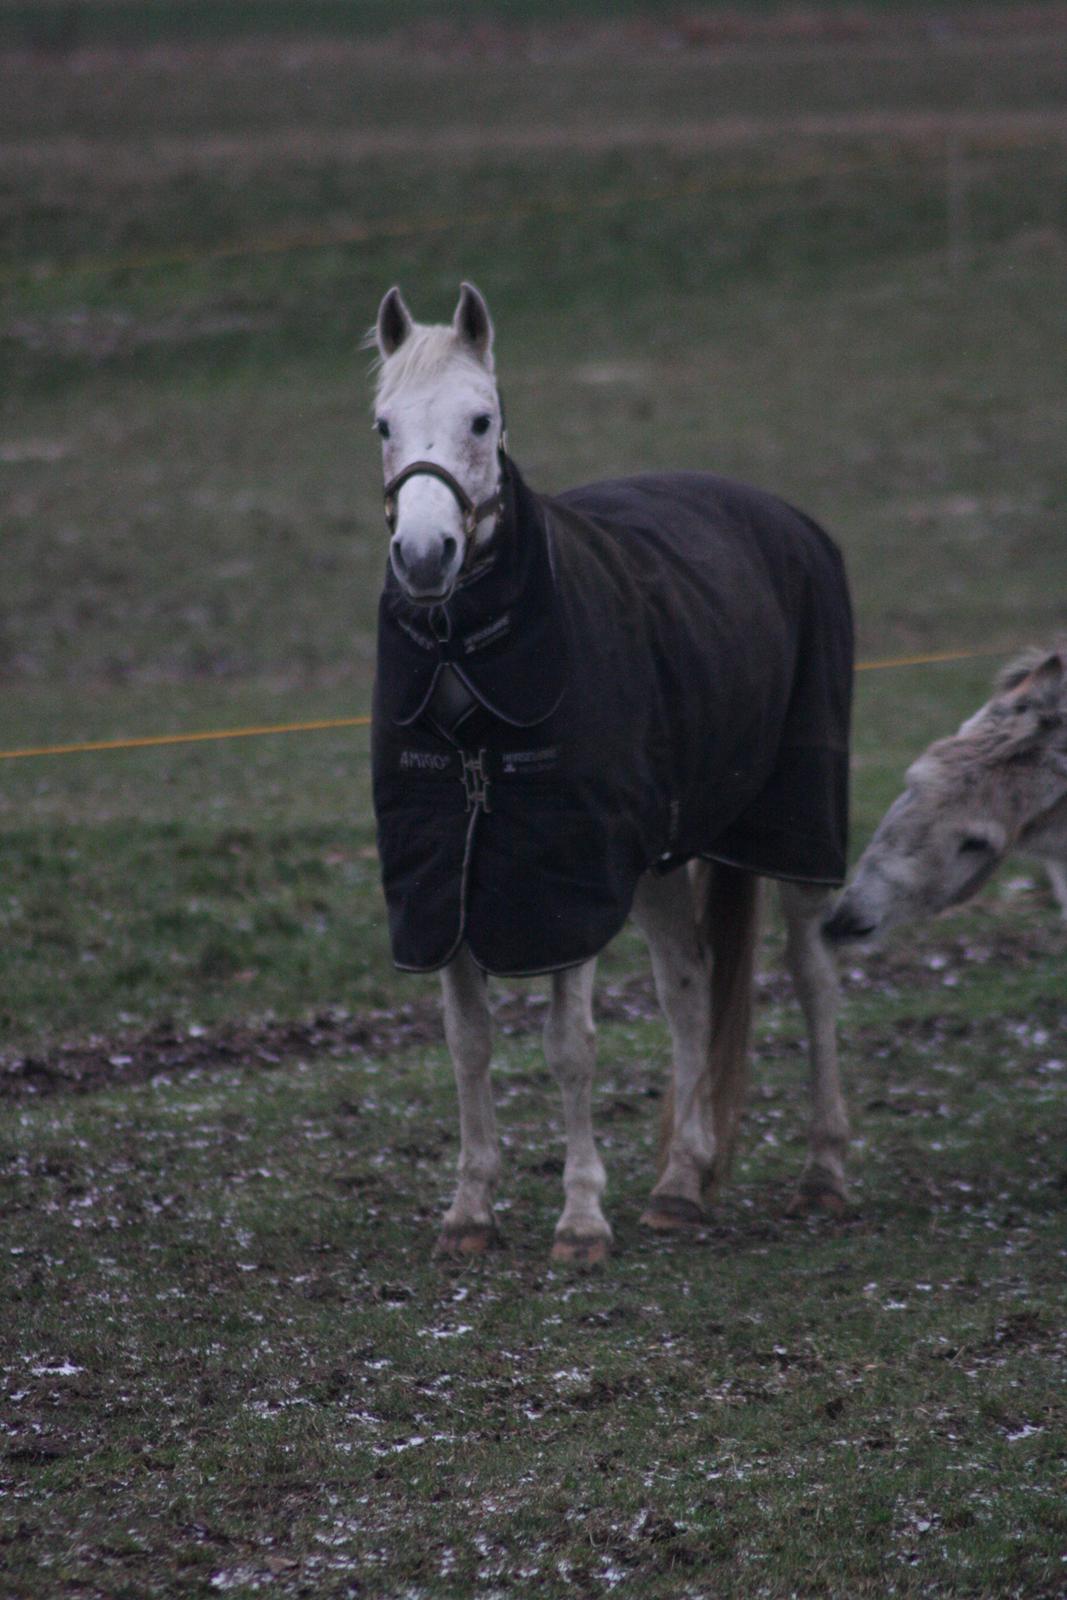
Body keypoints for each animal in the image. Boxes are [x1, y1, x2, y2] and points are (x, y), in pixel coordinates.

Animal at [367, 284, 851, 1260]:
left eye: (482, 419)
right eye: (383, 425)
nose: (426, 557)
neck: (470, 673)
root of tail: (788, 519)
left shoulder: (569, 883)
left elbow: (569, 1046)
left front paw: (581, 1219)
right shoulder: (443, 884)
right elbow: (466, 1042)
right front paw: (469, 1210)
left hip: (797, 830)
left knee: (812, 976)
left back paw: (822, 1174)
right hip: (661, 857)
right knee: (691, 987)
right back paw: (679, 1186)